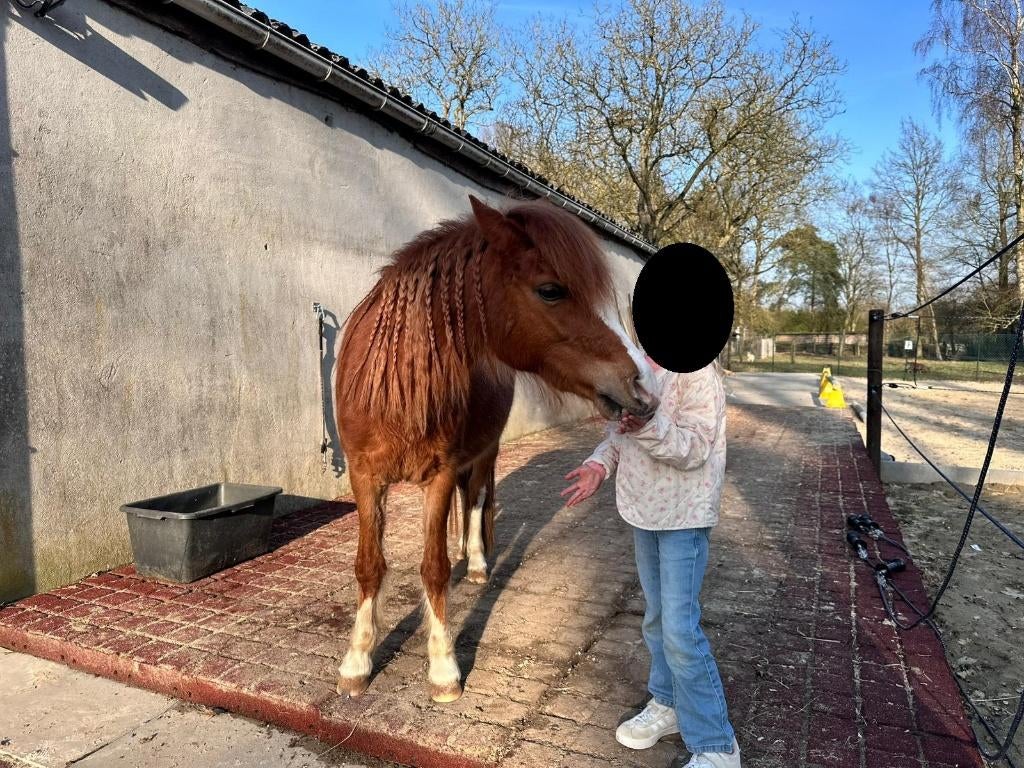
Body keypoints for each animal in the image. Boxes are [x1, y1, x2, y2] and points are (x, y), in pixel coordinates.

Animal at [334, 194, 658, 702]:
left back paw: (477, 563)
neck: (399, 384)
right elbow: (369, 565)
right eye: (551, 290)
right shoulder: (364, 475)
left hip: (484, 453)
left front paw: (443, 668)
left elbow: (434, 568)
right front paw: (357, 662)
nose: (642, 384)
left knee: (476, 498)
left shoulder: (440, 475)